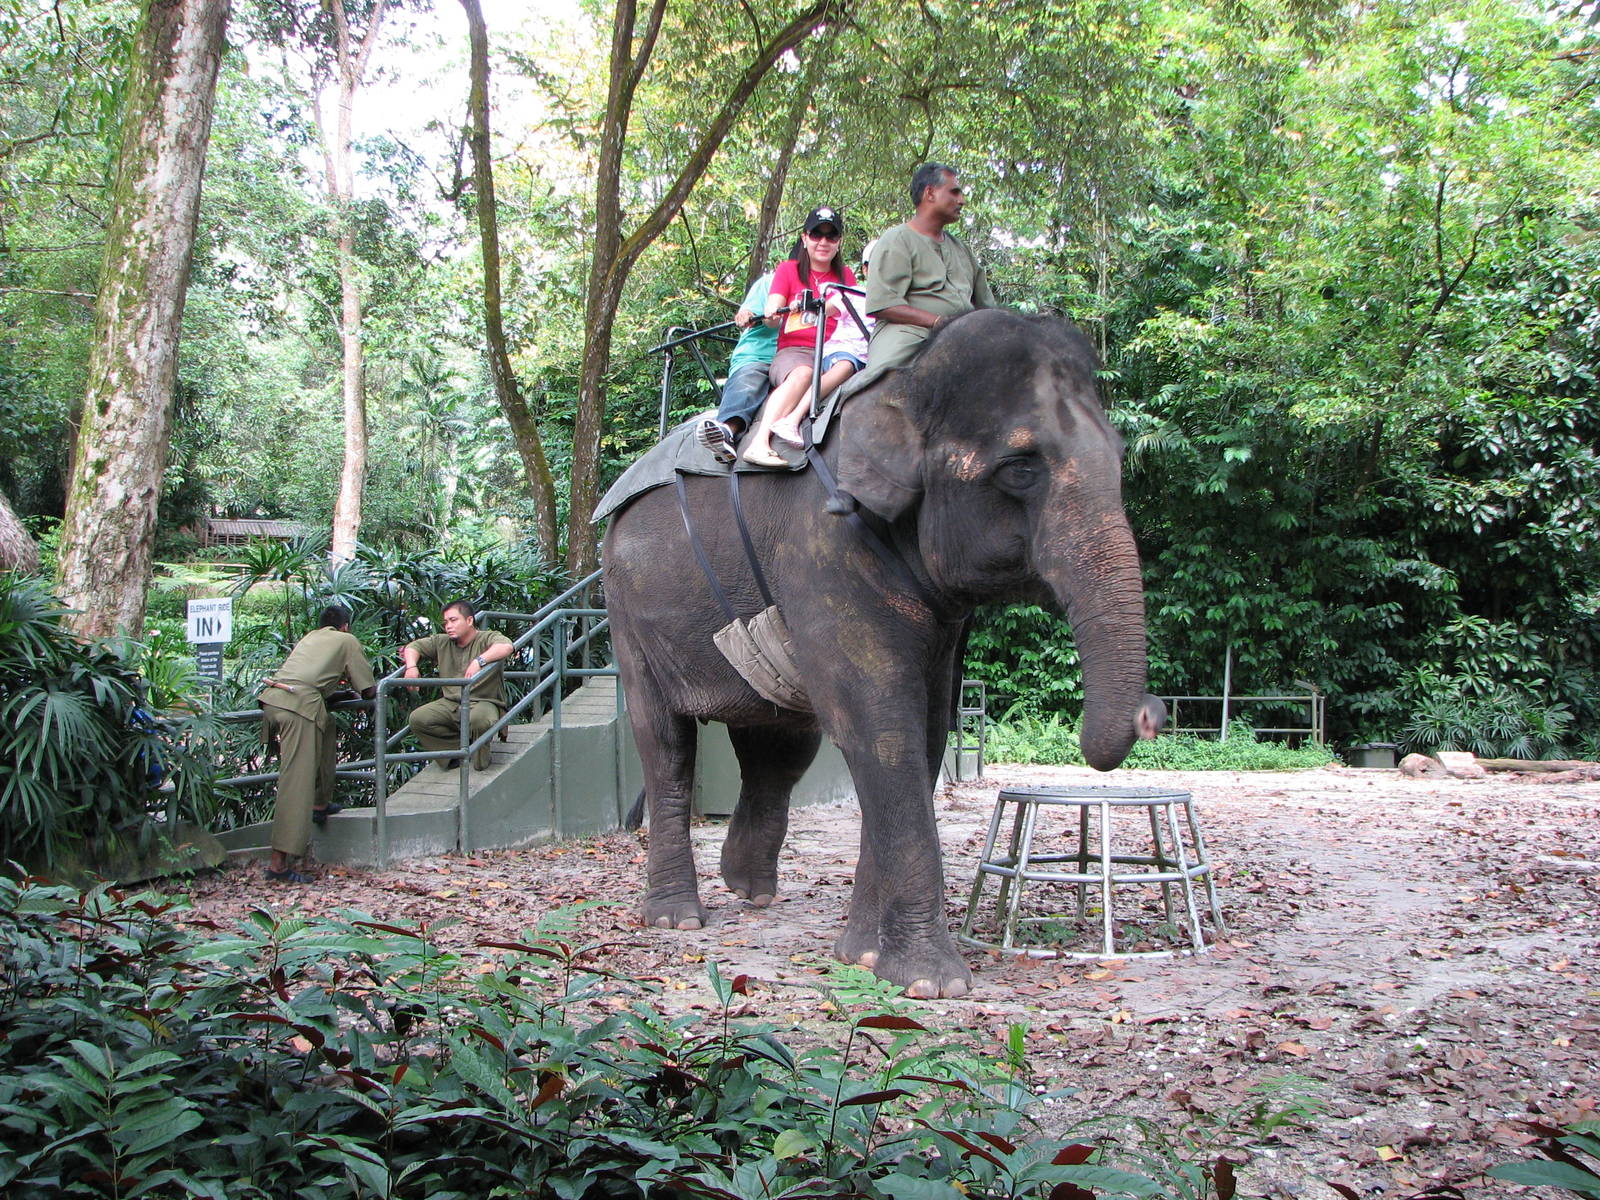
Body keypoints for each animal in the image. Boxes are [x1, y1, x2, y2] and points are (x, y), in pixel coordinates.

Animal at [601, 308, 1164, 998]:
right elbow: (880, 726)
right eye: (1021, 468)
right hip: (627, 614)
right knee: (666, 744)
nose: (1152, 714)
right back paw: (677, 919)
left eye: (1119, 458)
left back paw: (748, 887)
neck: (905, 383)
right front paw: (931, 984)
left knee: (779, 747)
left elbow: (923, 732)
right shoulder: (824, 541)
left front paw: (862, 957)